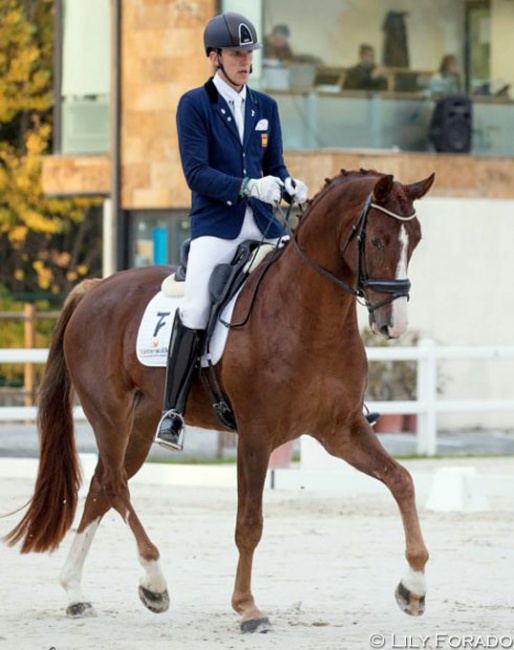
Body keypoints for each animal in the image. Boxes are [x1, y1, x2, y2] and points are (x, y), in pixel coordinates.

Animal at [6, 168, 434, 632]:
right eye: (376, 240)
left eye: (416, 239)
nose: (394, 325)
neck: (306, 314)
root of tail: (96, 288)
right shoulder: (256, 435)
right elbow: (249, 523)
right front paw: (247, 608)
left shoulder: (342, 430)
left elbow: (401, 481)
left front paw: (413, 587)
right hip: (109, 414)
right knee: (117, 486)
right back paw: (154, 583)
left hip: (140, 424)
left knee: (103, 484)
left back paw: (75, 592)